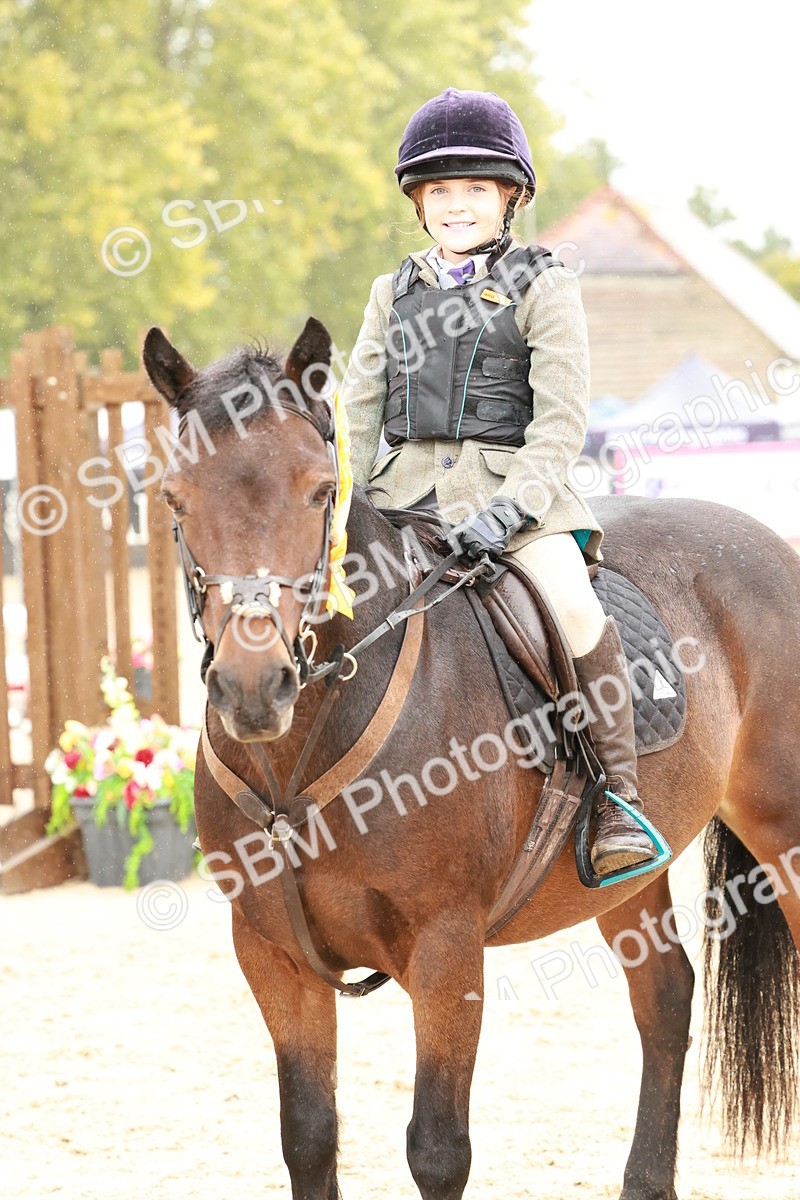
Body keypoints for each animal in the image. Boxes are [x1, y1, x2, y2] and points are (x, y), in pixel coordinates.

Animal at [143, 319, 800, 1200]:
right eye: (175, 499)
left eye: (319, 491)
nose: (253, 686)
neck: (301, 754)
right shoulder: (273, 953)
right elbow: (309, 1136)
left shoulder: (445, 947)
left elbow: (437, 1149)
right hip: (627, 875)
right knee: (664, 1001)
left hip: (784, 832)